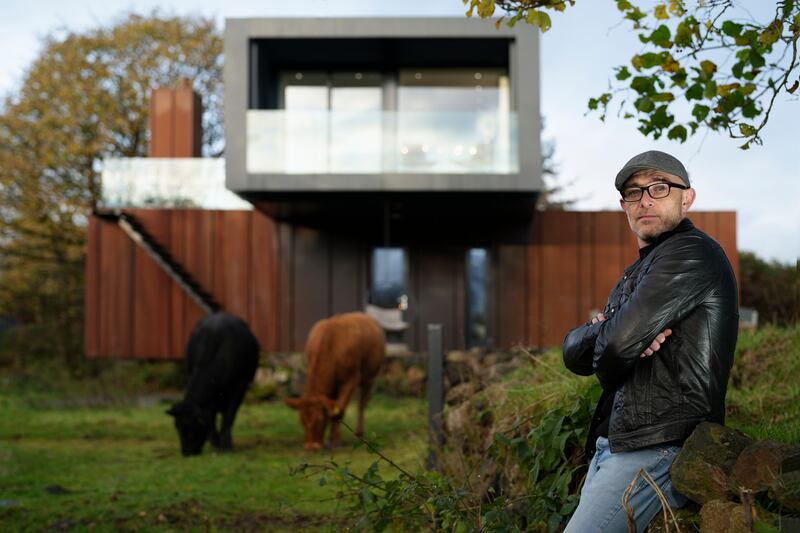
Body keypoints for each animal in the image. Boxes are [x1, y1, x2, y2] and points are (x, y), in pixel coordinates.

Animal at [166, 314, 260, 456]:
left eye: (192, 426)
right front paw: (215, 443)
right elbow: (211, 418)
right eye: (177, 426)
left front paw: (226, 445)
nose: (187, 453)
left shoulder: (240, 387)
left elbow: (228, 417)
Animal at [286, 312, 386, 448]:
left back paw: (359, 432)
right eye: (302, 421)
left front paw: (335, 441)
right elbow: (332, 409)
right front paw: (330, 438)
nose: (311, 447)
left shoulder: (350, 381)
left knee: (361, 404)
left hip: (370, 378)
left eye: (320, 420)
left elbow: (339, 410)